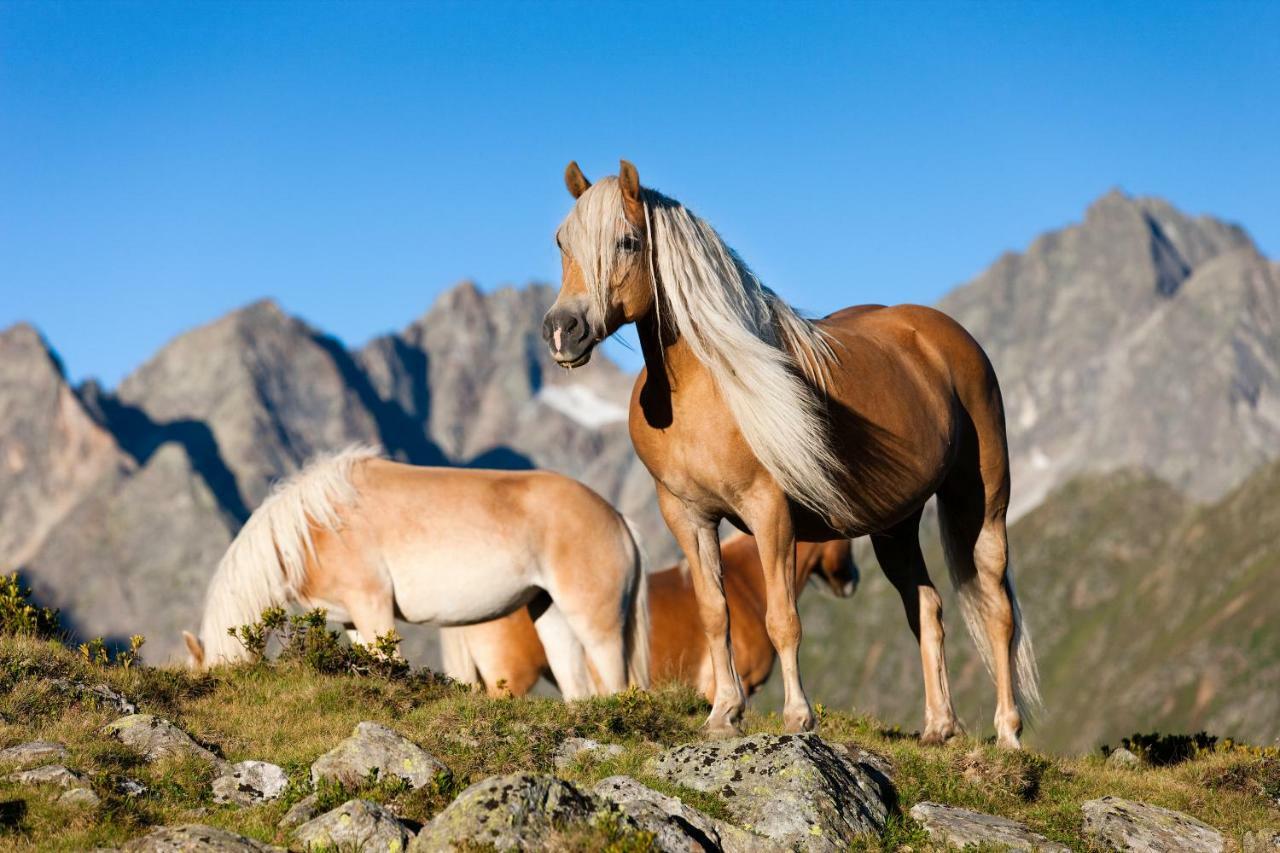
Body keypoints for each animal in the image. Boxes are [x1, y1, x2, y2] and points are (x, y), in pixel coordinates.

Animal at [180, 440, 650, 696]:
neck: (315, 527)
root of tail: (618, 518)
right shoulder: (352, 620)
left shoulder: (372, 606)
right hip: (549, 614)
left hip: (596, 624)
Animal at [540, 159, 1039, 742]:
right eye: (561, 242)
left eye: (627, 241)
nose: (562, 331)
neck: (709, 384)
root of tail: (946, 336)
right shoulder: (687, 516)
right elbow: (714, 612)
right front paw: (723, 713)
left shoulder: (769, 512)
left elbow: (783, 618)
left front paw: (798, 716)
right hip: (895, 526)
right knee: (927, 608)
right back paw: (939, 726)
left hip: (981, 504)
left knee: (997, 609)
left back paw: (1008, 733)